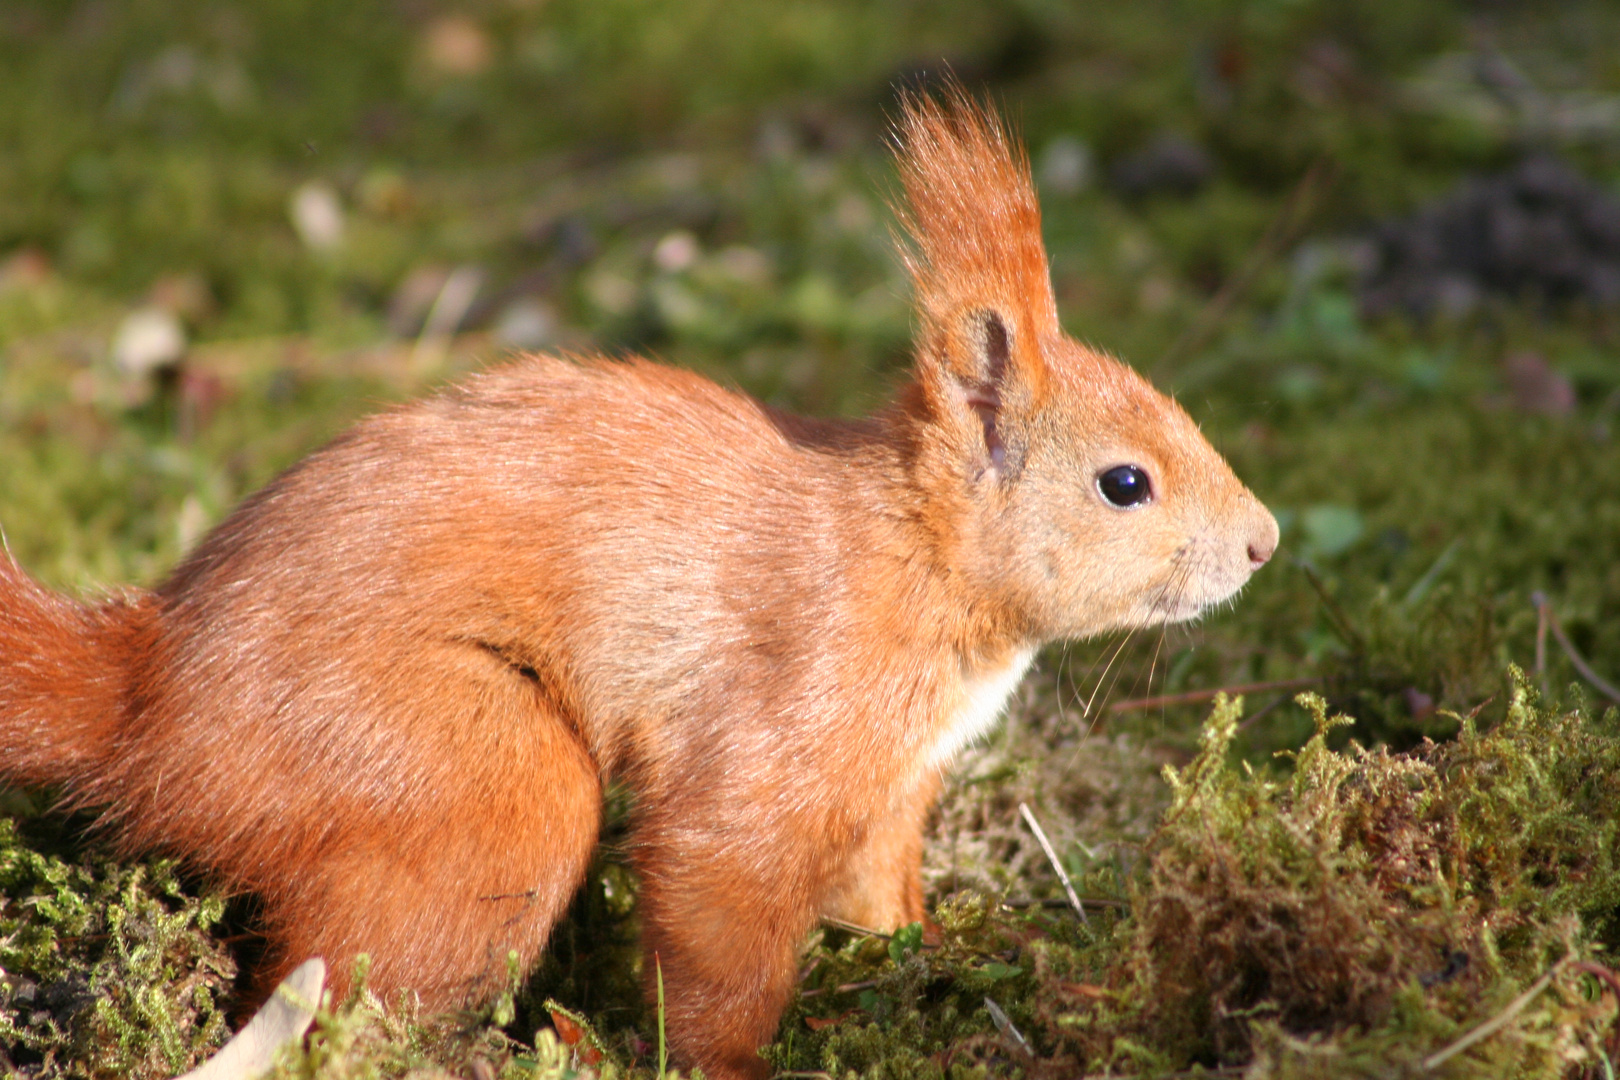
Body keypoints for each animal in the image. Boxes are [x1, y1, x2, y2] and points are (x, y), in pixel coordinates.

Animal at [0, 95, 1276, 1080]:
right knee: (354, 994)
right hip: (473, 773)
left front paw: (931, 952)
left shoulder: (894, 780)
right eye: (1125, 483)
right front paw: (739, 1060)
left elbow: (874, 889)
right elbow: (721, 892)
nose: (1266, 542)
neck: (915, 559)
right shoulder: (786, 710)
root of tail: (144, 698)